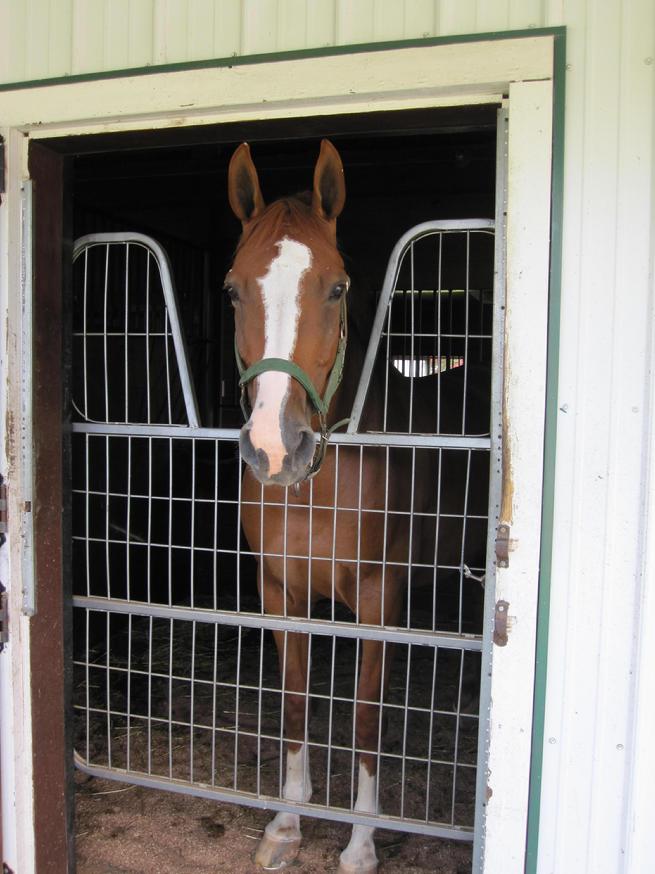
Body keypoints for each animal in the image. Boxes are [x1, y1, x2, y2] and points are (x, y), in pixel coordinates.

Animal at [225, 140, 487, 873]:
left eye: (337, 286)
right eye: (232, 288)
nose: (275, 448)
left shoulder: (379, 597)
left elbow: (367, 715)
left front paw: (361, 842)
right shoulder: (279, 591)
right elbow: (293, 703)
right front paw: (287, 825)